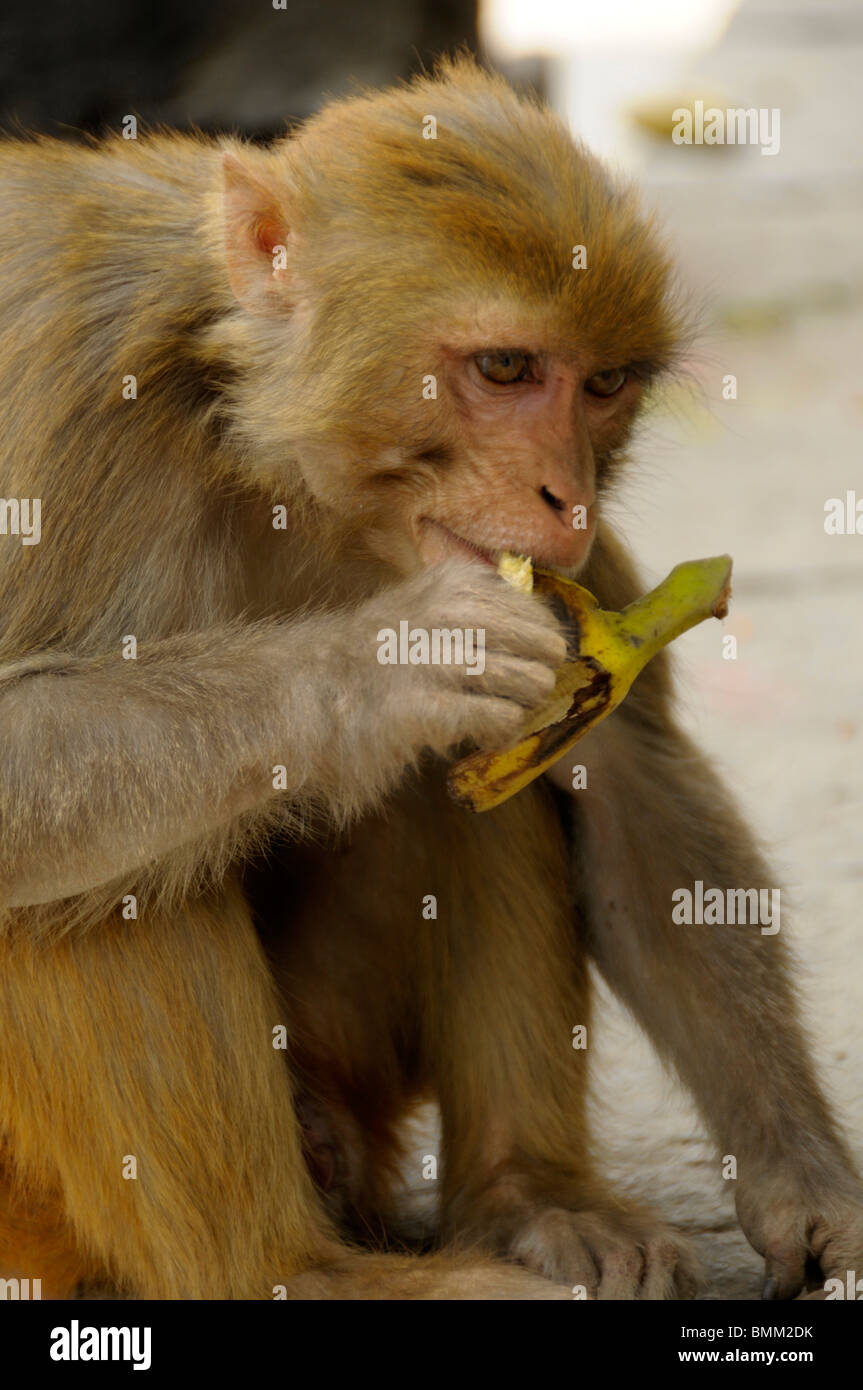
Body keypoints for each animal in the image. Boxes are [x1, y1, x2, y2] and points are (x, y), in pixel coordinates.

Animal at [0, 54, 856, 1295]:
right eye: (504, 369)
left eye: (602, 385)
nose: (566, 497)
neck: (259, 451)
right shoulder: (58, 413)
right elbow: (23, 765)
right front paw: (379, 669)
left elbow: (630, 789)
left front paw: (809, 1188)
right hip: (39, 1213)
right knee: (82, 875)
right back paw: (291, 1268)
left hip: (348, 1067)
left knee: (484, 797)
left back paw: (528, 1201)